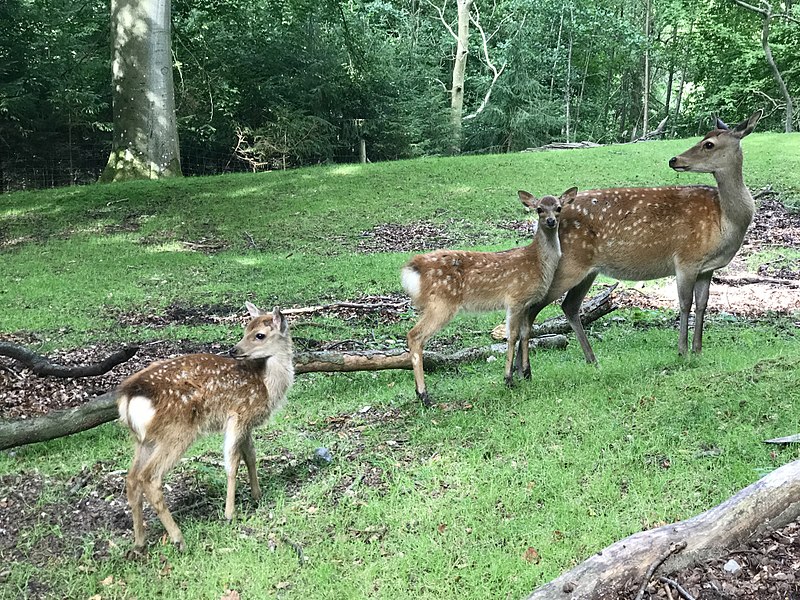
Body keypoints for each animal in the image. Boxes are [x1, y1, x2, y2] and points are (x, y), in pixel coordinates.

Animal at [115, 302, 294, 556]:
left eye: (259, 334)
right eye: (246, 330)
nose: (234, 350)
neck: (266, 385)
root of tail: (130, 398)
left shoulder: (247, 422)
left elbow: (250, 456)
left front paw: (257, 496)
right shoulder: (238, 414)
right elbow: (232, 463)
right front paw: (230, 514)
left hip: (144, 439)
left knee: (131, 479)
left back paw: (140, 542)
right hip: (177, 431)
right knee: (149, 477)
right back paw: (179, 540)